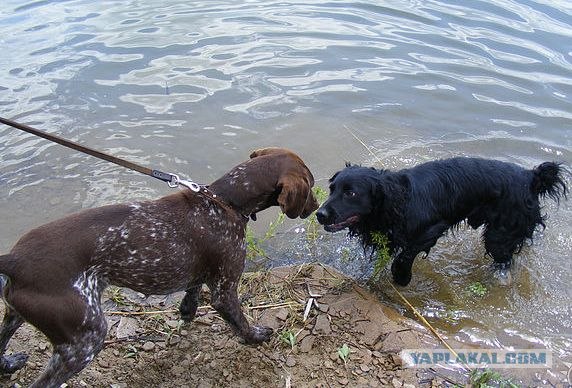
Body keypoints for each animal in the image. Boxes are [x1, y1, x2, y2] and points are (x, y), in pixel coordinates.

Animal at [0, 147, 318, 386]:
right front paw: (256, 337)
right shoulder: (225, 290)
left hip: (17, 314)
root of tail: (15, 260)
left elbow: (192, 292)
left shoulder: (202, 274)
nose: (316, 208)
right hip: (84, 339)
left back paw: (8, 363)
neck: (225, 201)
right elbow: (240, 320)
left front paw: (187, 312)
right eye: (311, 186)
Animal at [318, 156, 568, 286]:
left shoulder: (432, 229)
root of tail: (531, 176)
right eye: (332, 189)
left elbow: (404, 256)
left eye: (351, 193)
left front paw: (401, 278)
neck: (399, 200)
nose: (320, 214)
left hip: (500, 235)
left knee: (504, 260)